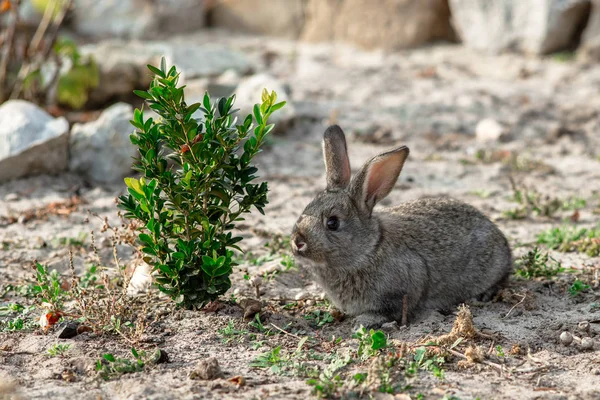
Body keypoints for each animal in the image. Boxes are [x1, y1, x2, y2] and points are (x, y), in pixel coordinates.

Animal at [290, 125, 510, 328]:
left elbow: (389, 311)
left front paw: (363, 321)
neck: (369, 249)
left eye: (332, 223)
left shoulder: (406, 286)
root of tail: (500, 237)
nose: (297, 242)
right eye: (305, 209)